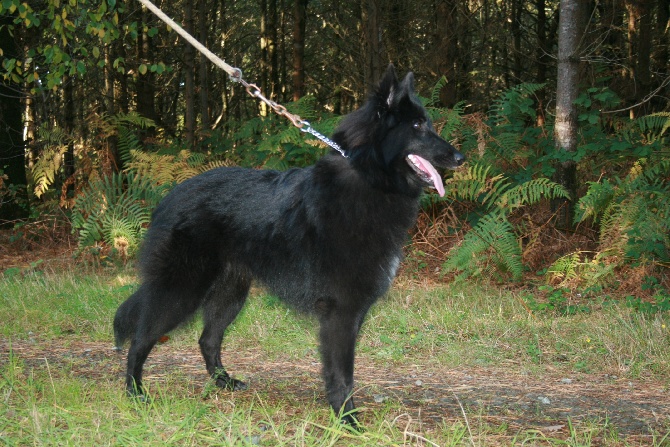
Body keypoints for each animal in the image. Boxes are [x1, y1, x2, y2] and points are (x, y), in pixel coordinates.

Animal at [113, 65, 464, 424]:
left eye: (428, 123)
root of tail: (169, 197)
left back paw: (224, 382)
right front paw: (347, 420)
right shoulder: (340, 311)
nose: (460, 157)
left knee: (207, 339)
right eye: (418, 126)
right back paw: (135, 392)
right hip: (182, 288)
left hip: (230, 294)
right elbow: (342, 373)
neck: (369, 177)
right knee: (141, 338)